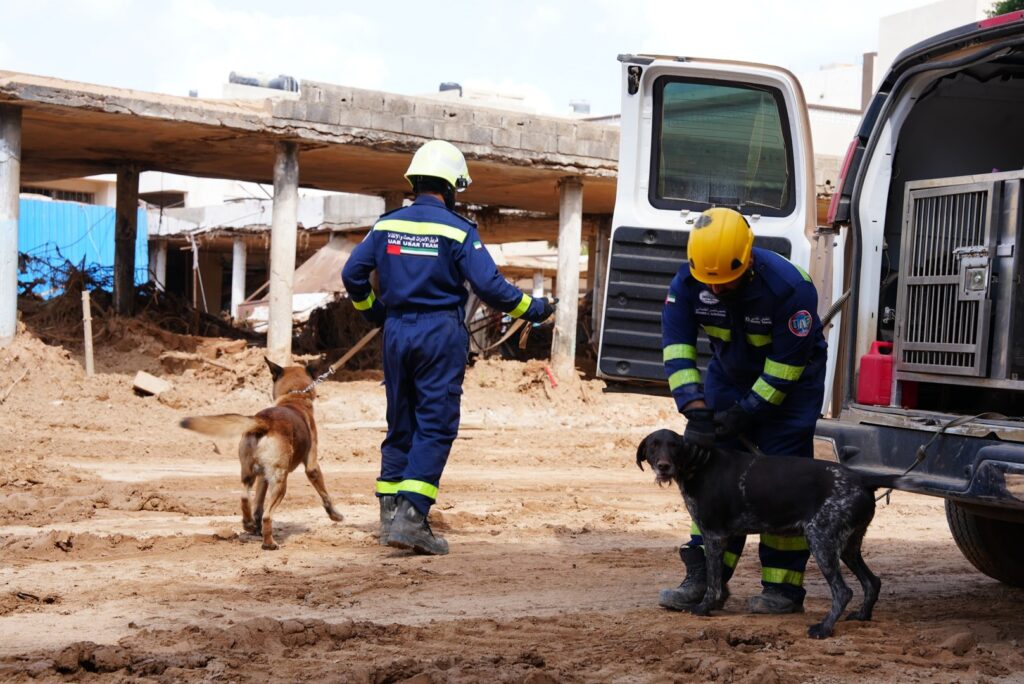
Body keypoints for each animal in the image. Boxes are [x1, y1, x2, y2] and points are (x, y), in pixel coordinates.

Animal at [180, 358, 344, 548]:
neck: (294, 396)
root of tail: (263, 421)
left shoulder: (262, 477)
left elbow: (257, 505)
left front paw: (254, 526)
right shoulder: (312, 466)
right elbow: (324, 494)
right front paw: (335, 515)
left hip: (249, 473)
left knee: (245, 498)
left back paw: (249, 524)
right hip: (280, 482)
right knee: (267, 515)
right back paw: (269, 543)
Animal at [634, 430, 901, 638]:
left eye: (674, 446)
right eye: (653, 445)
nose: (663, 466)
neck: (701, 463)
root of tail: (862, 479)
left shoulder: (713, 536)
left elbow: (713, 583)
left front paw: (704, 608)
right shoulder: (725, 536)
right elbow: (720, 579)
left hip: (821, 541)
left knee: (843, 591)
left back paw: (824, 628)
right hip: (847, 546)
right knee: (872, 582)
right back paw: (862, 615)